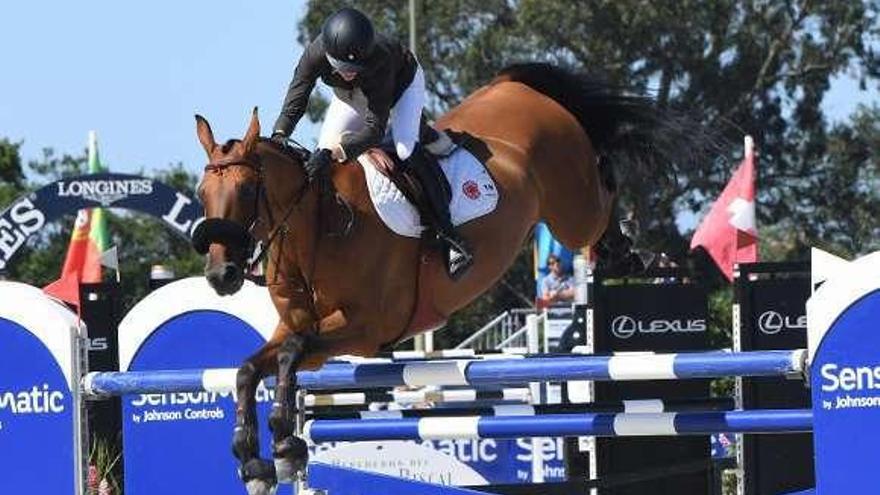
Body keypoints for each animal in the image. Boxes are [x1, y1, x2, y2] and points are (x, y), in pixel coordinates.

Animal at [191, 63, 708, 495]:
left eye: (248, 190)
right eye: (202, 192)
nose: (221, 275)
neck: (321, 223)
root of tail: (515, 86)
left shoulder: (367, 329)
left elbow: (291, 354)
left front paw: (283, 444)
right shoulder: (299, 329)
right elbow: (249, 368)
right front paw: (255, 463)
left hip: (572, 209)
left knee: (603, 191)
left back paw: (632, 253)